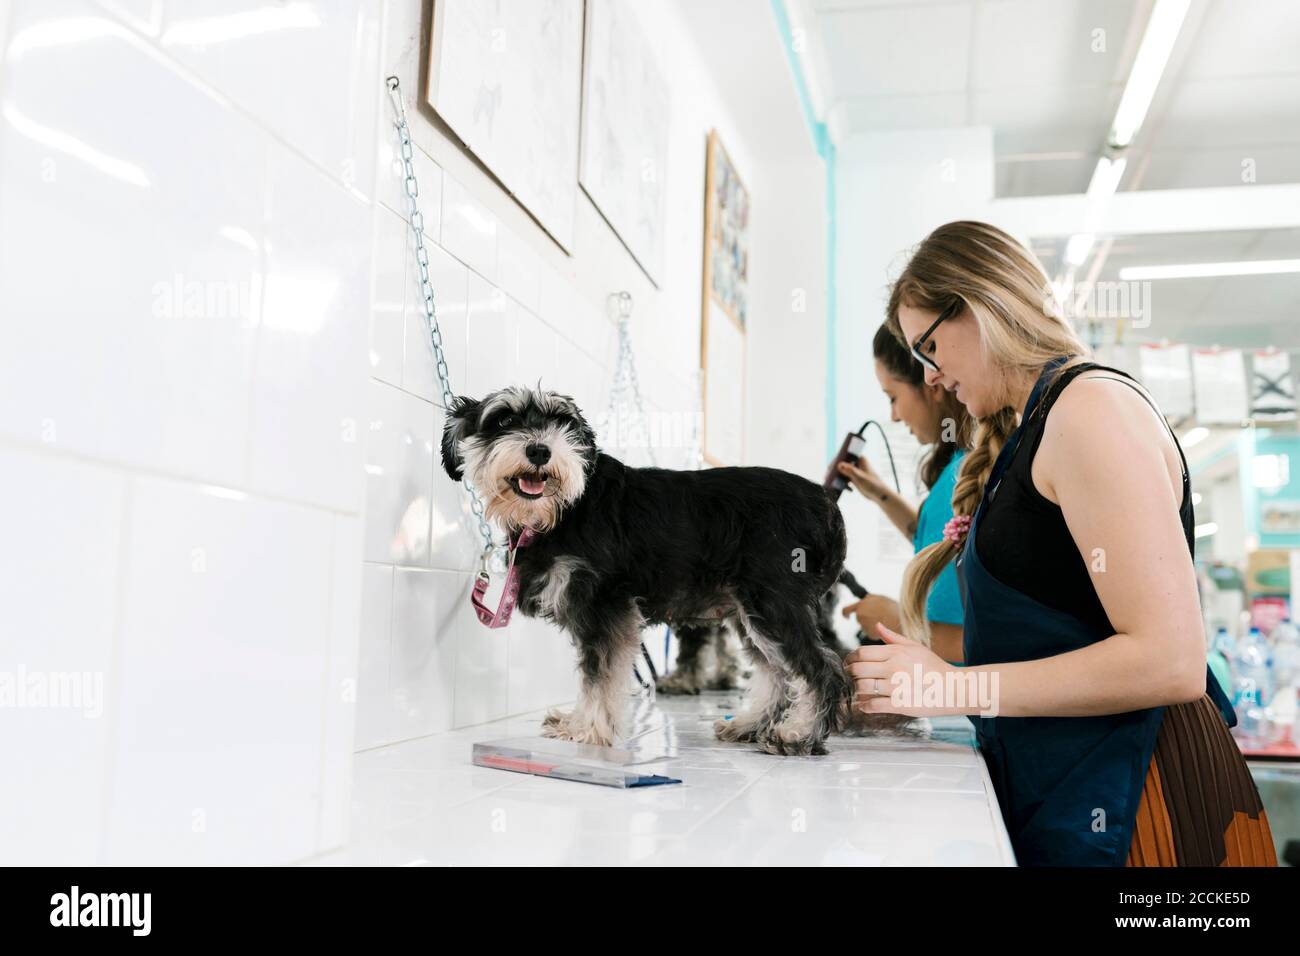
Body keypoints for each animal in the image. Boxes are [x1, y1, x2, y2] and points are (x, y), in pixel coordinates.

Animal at [441, 387, 857, 754]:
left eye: (563, 423)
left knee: (822, 669)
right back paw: (750, 725)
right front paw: (576, 722)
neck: (565, 508)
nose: (540, 451)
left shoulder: (605, 608)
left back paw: (798, 735)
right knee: (775, 672)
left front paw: (589, 730)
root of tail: (825, 502)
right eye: (504, 419)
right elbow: (592, 672)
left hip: (773, 606)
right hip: (749, 613)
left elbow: (600, 675)